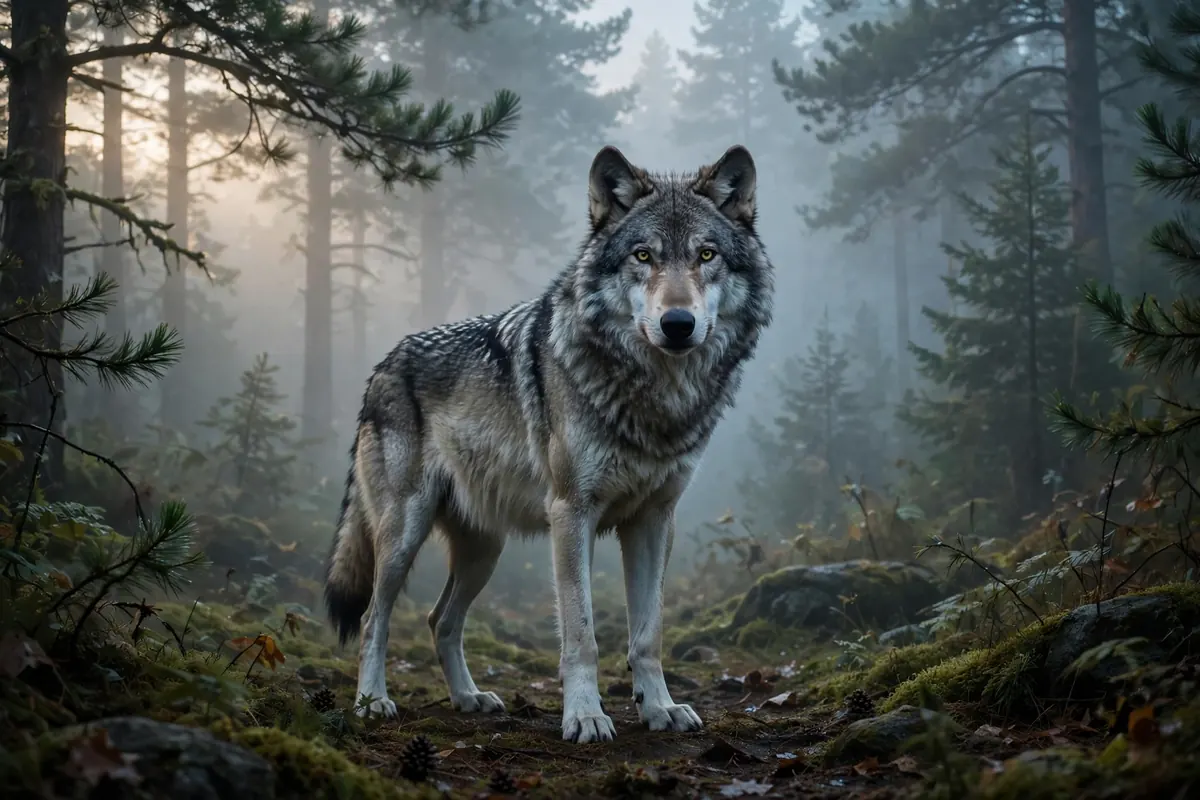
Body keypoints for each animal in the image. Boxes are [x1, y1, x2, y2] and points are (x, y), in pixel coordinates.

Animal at [324, 143, 775, 744]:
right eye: (643, 255)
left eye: (706, 255)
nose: (678, 323)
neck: (654, 397)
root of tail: (383, 365)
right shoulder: (572, 513)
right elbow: (581, 635)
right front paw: (585, 716)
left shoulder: (654, 520)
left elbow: (648, 634)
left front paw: (659, 708)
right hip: (403, 535)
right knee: (376, 617)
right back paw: (372, 701)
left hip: (484, 550)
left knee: (440, 620)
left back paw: (469, 698)